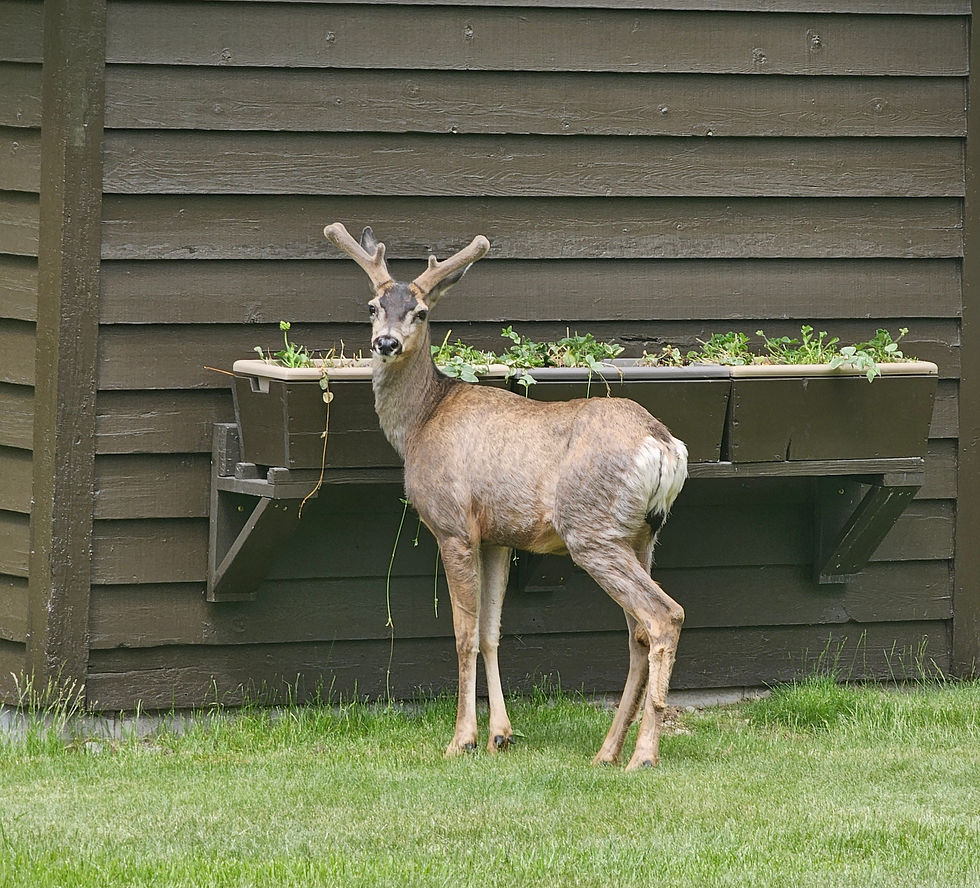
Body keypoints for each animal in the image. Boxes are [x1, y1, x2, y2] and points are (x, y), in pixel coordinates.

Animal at [323, 222, 689, 769]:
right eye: (372, 305)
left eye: (421, 311)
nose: (385, 342)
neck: (421, 421)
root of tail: (663, 444)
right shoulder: (497, 535)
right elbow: (491, 632)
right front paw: (500, 733)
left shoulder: (453, 525)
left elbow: (463, 633)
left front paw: (462, 739)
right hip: (641, 535)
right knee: (638, 635)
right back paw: (606, 752)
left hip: (591, 529)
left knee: (664, 617)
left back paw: (642, 755)